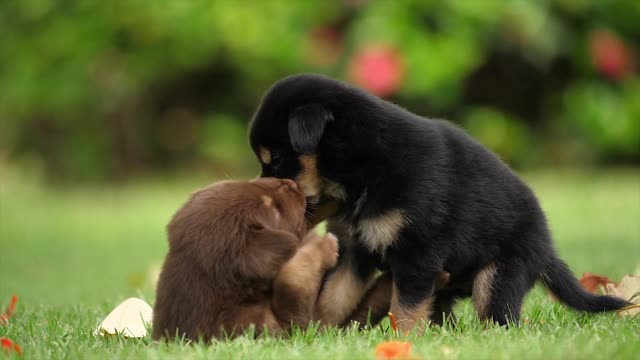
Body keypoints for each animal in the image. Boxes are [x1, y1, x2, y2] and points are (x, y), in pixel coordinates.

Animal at [248, 73, 628, 332]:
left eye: (276, 159)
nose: (255, 188)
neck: (362, 174)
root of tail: (547, 248)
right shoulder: (354, 252)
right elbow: (333, 297)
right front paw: (321, 333)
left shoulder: (417, 252)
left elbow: (405, 308)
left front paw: (406, 340)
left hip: (500, 274)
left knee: (498, 318)